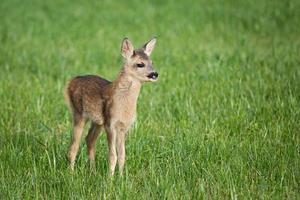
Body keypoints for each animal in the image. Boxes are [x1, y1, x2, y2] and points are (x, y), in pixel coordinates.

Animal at [64, 37, 158, 175]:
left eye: (151, 62)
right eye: (140, 64)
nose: (155, 74)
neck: (123, 106)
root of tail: (70, 82)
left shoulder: (123, 127)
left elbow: (122, 155)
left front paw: (122, 177)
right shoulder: (110, 124)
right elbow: (113, 155)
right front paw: (110, 178)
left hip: (98, 122)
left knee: (89, 140)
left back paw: (93, 171)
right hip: (78, 113)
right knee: (73, 146)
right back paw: (71, 172)